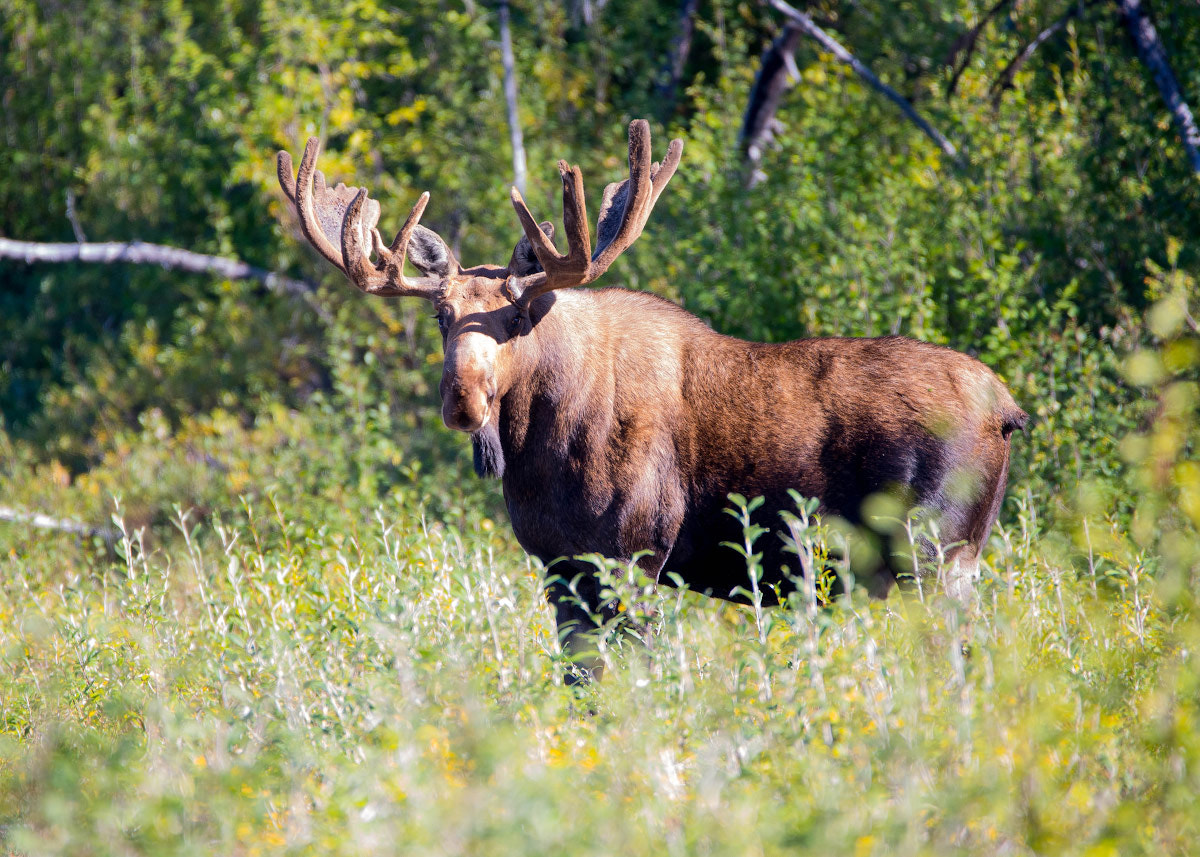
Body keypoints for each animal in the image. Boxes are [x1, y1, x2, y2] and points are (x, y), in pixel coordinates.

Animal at [276, 120, 1028, 680]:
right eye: (441, 314)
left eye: (517, 316)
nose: (463, 400)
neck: (540, 450)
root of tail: (1009, 410)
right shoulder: (561, 566)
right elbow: (580, 677)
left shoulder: (635, 553)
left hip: (931, 553)